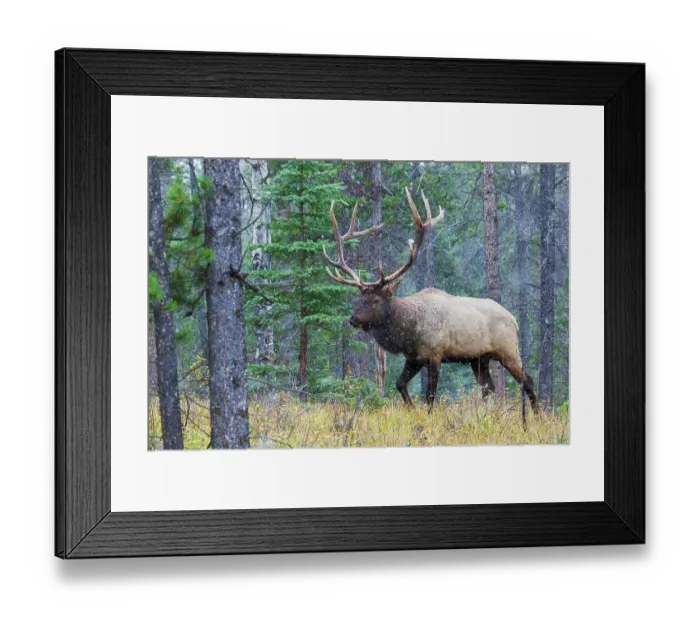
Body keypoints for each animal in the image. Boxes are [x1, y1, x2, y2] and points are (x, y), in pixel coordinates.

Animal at [323, 187, 539, 425]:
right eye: (358, 300)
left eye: (376, 300)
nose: (353, 319)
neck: (409, 331)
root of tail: (514, 319)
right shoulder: (414, 358)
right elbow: (400, 384)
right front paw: (412, 411)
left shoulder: (435, 355)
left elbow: (430, 395)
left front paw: (427, 419)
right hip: (479, 359)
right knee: (488, 388)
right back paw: (487, 417)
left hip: (508, 350)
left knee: (528, 381)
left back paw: (537, 418)